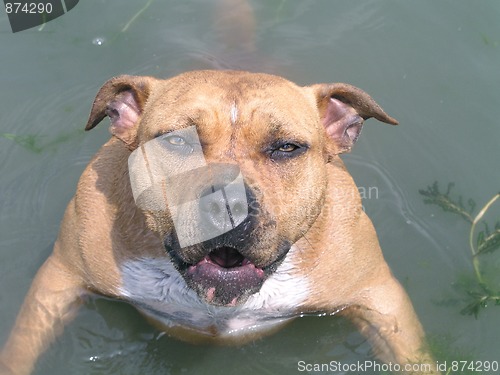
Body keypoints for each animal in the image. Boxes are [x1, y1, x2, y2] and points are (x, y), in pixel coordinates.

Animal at [0, 70, 438, 374]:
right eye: (177, 140)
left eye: (286, 148)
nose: (228, 203)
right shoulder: (59, 280)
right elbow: (20, 348)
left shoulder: (379, 297)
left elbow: (415, 357)